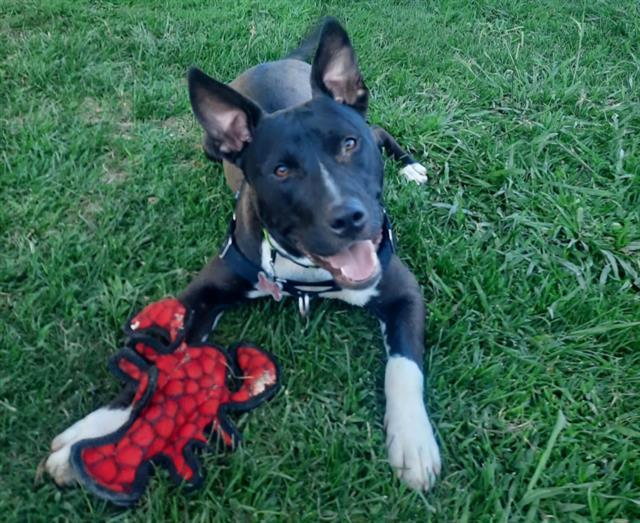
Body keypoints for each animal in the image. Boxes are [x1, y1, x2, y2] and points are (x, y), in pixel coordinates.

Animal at [46, 15, 440, 492]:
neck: (306, 271)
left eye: (348, 144)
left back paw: (410, 164)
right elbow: (149, 361)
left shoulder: (403, 293)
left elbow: (404, 367)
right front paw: (90, 435)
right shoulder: (202, 293)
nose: (348, 217)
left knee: (380, 130)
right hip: (210, 145)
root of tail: (280, 59)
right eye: (281, 171)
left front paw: (413, 440)